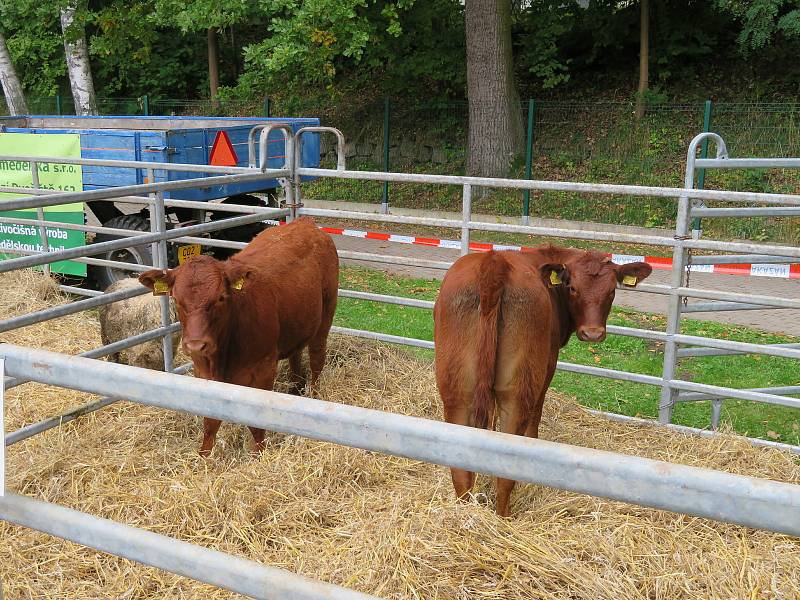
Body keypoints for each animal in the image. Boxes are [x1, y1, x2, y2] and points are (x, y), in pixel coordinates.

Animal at [138, 218, 338, 458]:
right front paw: (204, 455)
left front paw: (259, 454)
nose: (196, 345)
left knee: (317, 359)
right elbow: (210, 421)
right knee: (296, 355)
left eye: (221, 297)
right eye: (176, 299)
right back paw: (294, 389)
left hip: (325, 316)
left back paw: (313, 396)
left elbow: (256, 423)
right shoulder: (202, 371)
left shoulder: (263, 369)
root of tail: (304, 223)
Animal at [432, 244, 648, 516]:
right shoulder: (549, 364)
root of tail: (494, 261)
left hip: (457, 389)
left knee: (460, 468)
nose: (593, 333)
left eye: (611, 291)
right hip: (519, 389)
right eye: (572, 287)